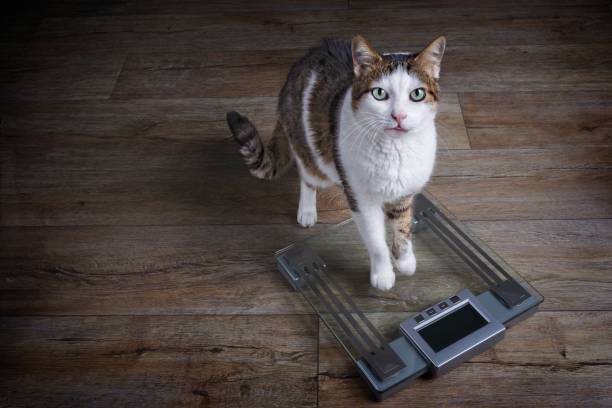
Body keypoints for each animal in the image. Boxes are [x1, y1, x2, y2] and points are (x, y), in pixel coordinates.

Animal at [227, 35, 448, 290]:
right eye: (379, 93)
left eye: (417, 94)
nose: (398, 116)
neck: (396, 151)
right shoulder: (360, 198)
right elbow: (376, 240)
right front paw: (383, 274)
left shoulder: (405, 192)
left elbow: (403, 226)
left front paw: (405, 260)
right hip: (314, 156)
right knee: (307, 176)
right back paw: (307, 211)